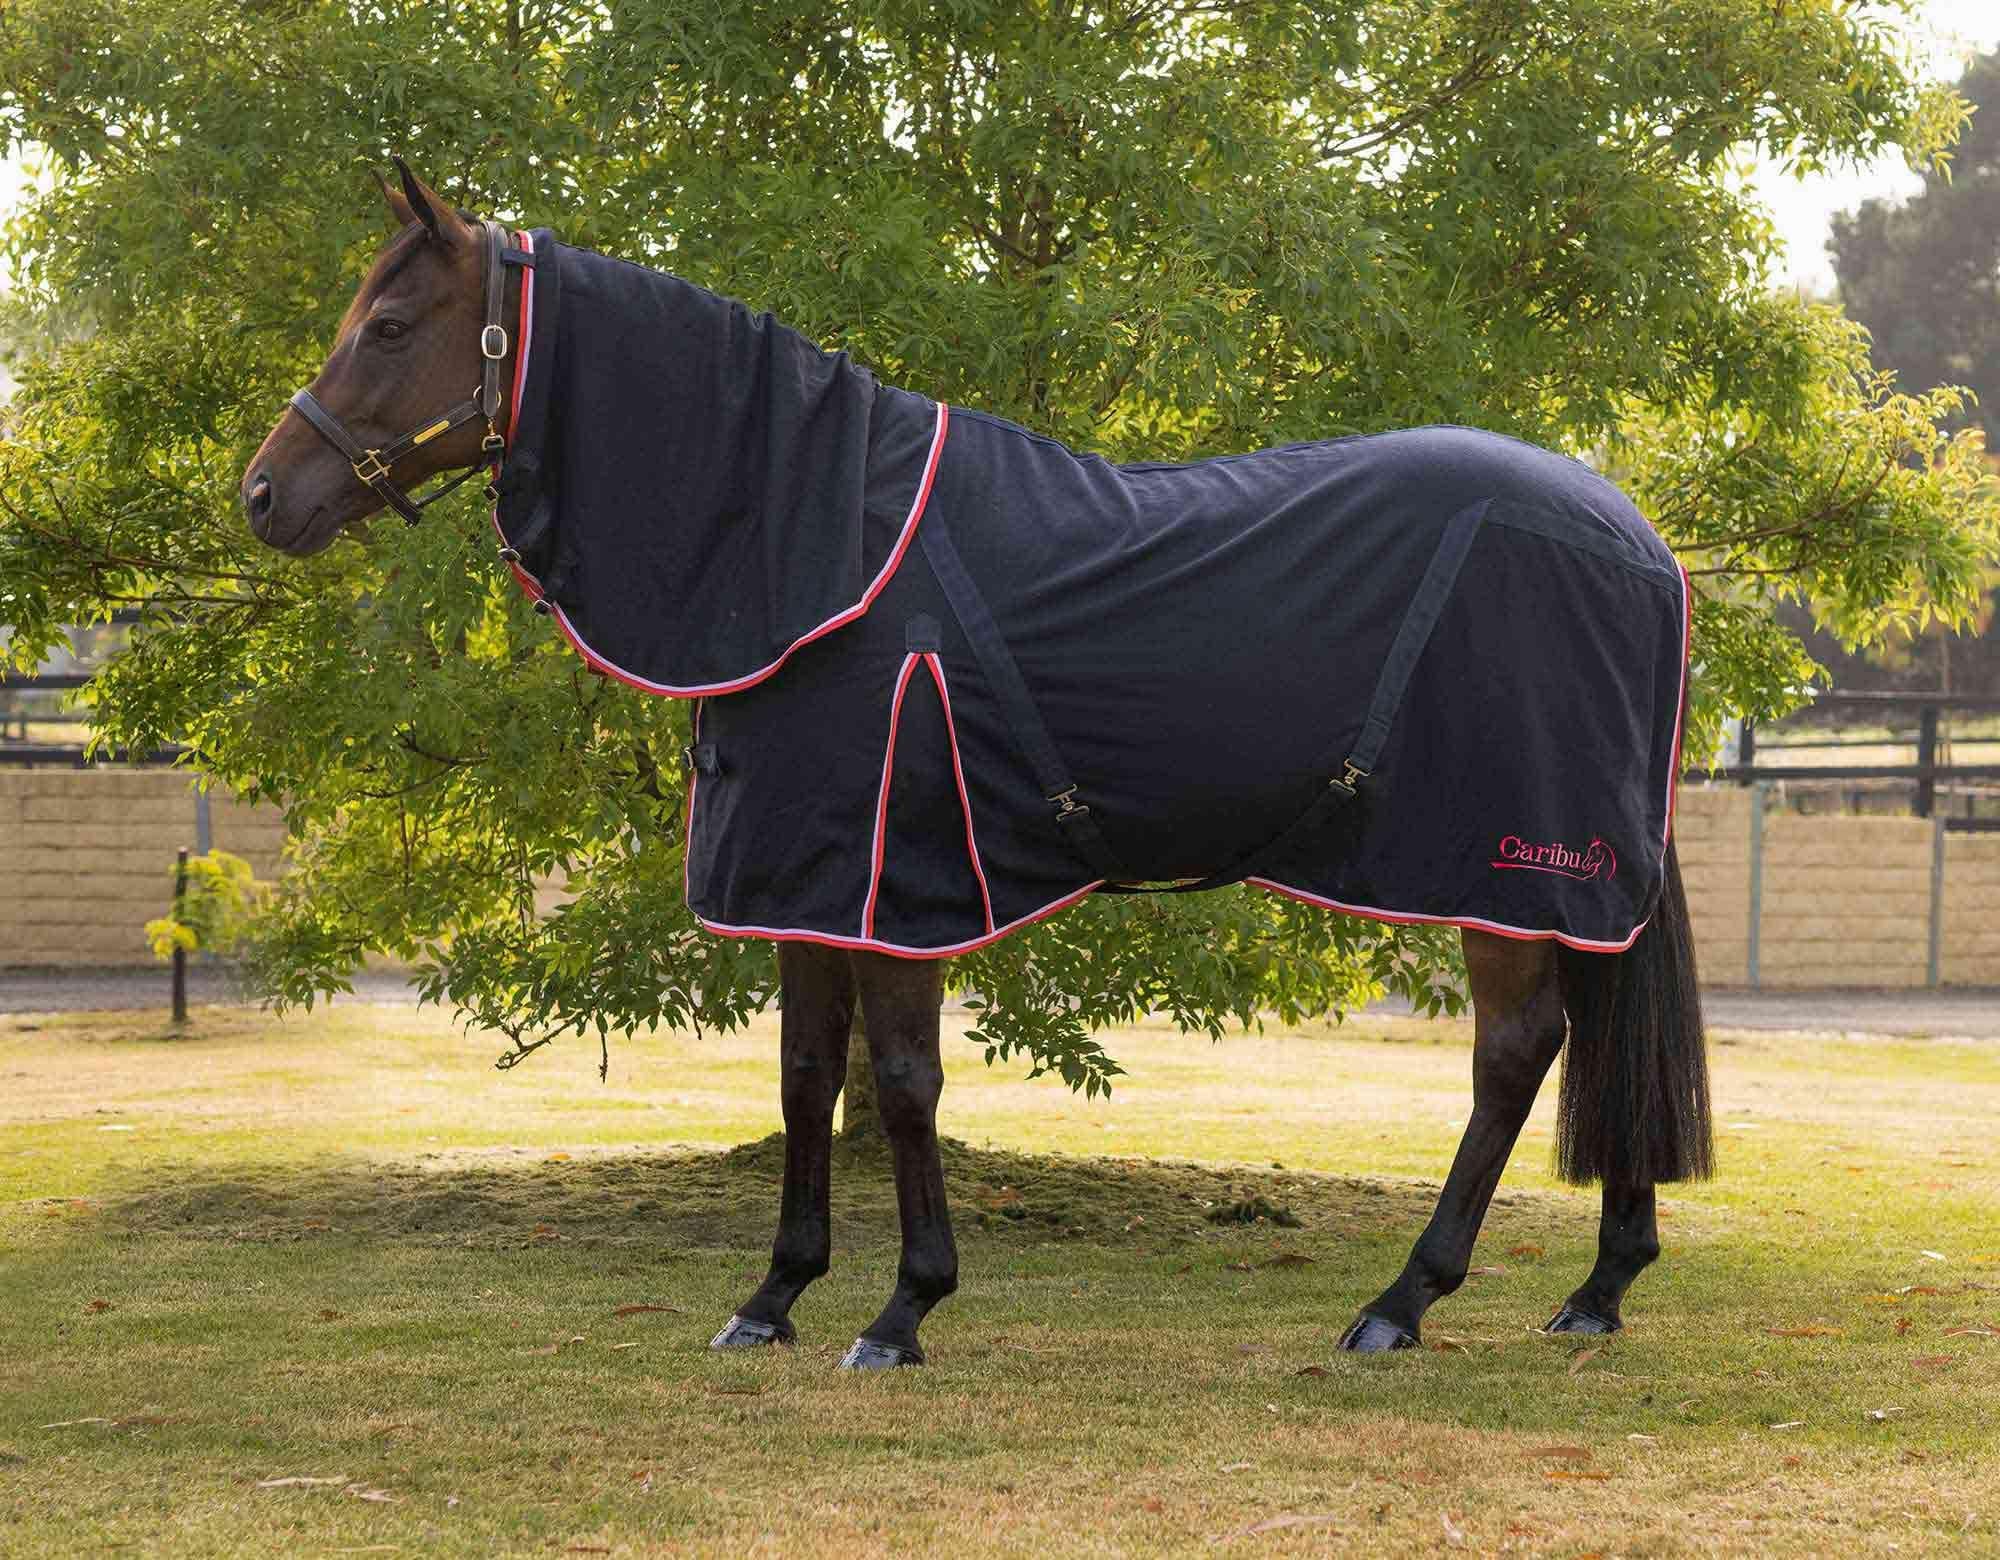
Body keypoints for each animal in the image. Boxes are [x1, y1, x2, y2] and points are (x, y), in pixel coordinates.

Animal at [242, 160, 1711, 1370]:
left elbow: (900, 1086)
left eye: (387, 327)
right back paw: (1596, 1291)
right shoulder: (807, 884)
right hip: (1557, 880)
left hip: (1513, 868)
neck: (821, 543)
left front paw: (902, 1311)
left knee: (1514, 1054)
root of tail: (1638, 542)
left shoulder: (897, 887)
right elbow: (804, 1078)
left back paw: (1402, 1303)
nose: (264, 495)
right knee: (1586, 1042)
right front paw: (773, 1299)